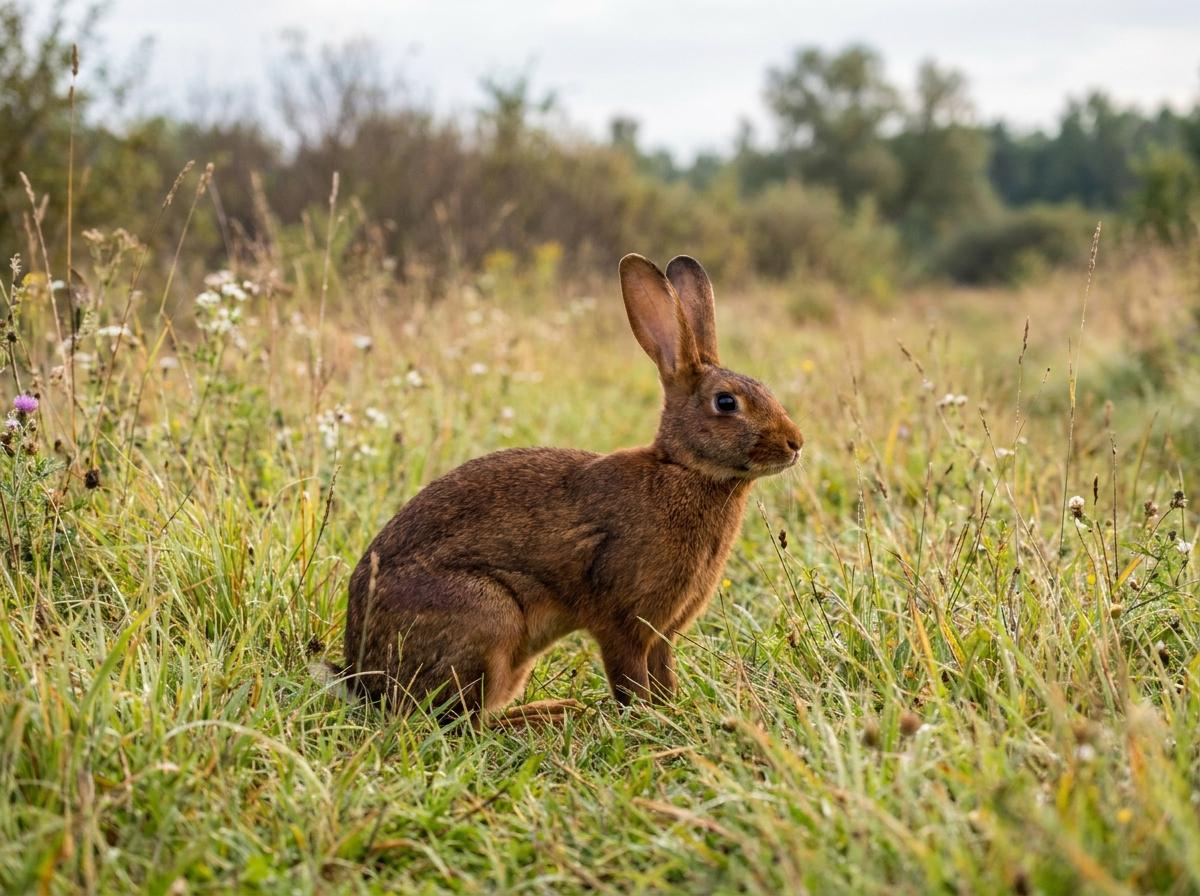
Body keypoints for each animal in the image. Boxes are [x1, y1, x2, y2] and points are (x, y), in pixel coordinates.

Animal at [339, 254, 803, 723]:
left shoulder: (663, 632)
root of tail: (364, 678)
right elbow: (631, 680)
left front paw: (671, 711)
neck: (682, 469)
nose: (795, 443)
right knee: (463, 721)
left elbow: (662, 677)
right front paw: (648, 719)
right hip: (488, 616)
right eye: (726, 402)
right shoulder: (622, 622)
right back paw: (552, 713)